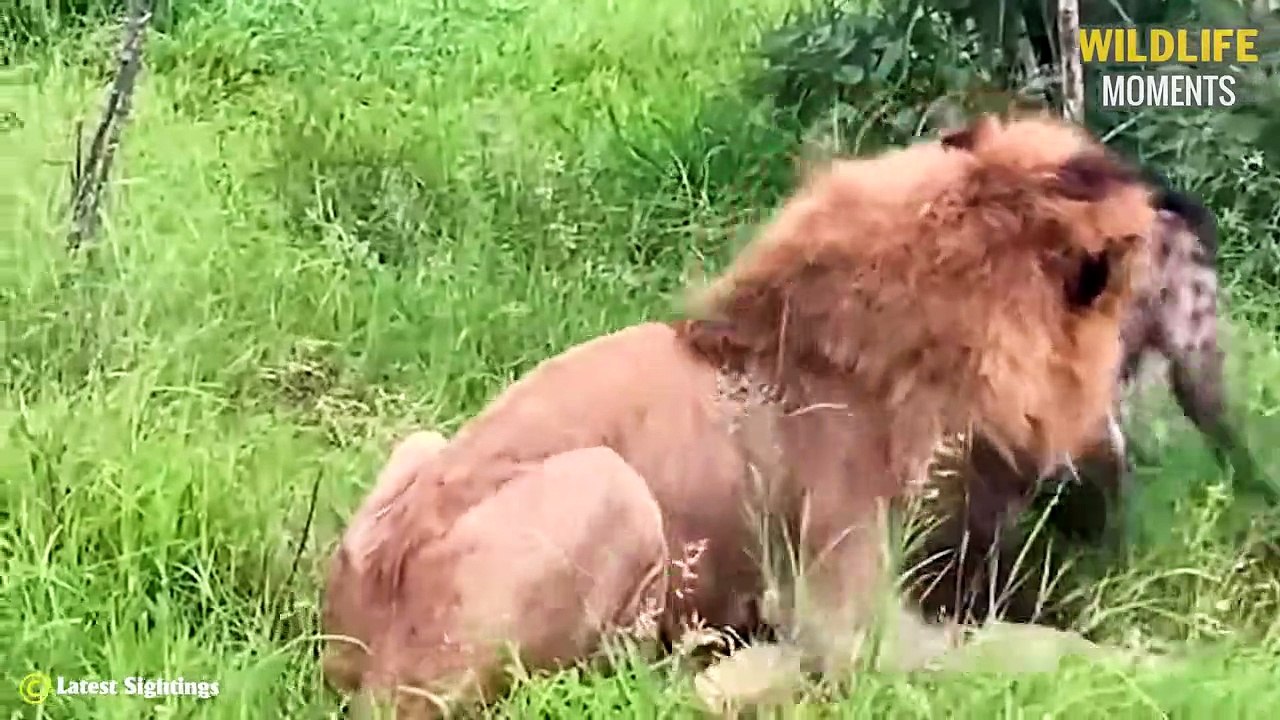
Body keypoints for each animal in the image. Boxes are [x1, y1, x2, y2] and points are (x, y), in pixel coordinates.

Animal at [319, 113, 1157, 717]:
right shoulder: (848, 616)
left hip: (418, 446)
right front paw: (1156, 665)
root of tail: (358, 658)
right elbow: (1015, 645)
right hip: (609, 488)